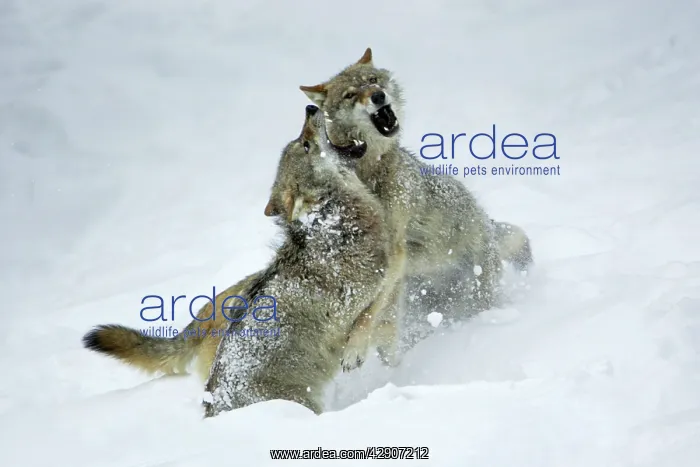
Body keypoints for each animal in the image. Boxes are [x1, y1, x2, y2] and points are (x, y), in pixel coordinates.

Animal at [203, 105, 395, 417]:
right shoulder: (364, 292)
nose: (311, 108)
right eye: (306, 144)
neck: (334, 226)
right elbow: (369, 314)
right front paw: (354, 353)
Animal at [298, 48, 533, 355]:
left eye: (373, 80)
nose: (378, 96)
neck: (370, 170)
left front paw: (355, 348)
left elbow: (369, 312)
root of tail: (486, 221)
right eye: (350, 94)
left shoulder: (395, 250)